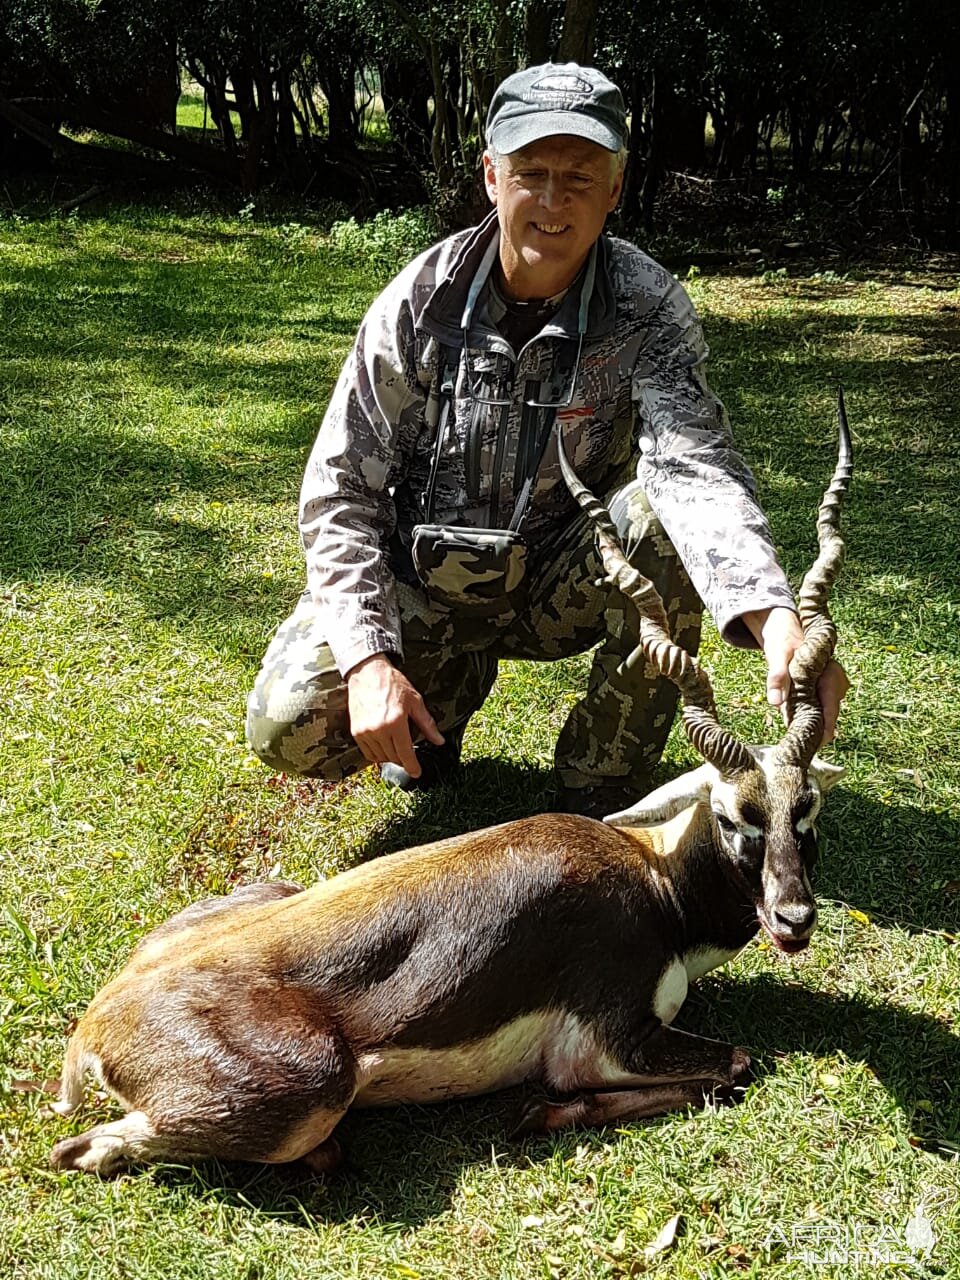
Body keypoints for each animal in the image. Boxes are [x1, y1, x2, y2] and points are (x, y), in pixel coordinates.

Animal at [48, 394, 855, 1172]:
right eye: (731, 816)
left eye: (806, 808)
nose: (793, 919)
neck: (658, 886)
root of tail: (99, 1023)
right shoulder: (608, 1042)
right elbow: (733, 1065)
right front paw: (539, 1112)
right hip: (313, 1089)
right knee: (80, 1151)